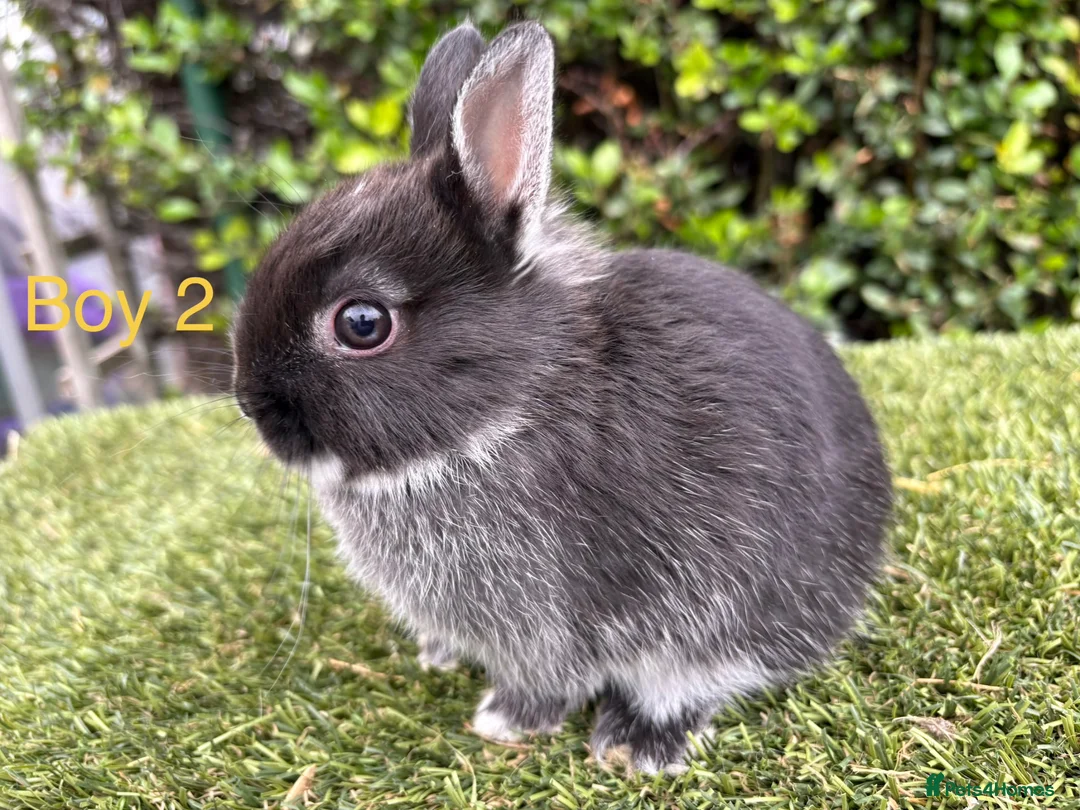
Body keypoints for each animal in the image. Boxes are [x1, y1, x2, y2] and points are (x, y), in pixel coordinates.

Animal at [231, 19, 893, 774]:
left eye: (361, 323)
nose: (250, 405)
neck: (510, 409)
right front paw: (440, 658)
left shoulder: (545, 611)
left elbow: (552, 674)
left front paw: (504, 721)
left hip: (736, 609)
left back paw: (637, 744)